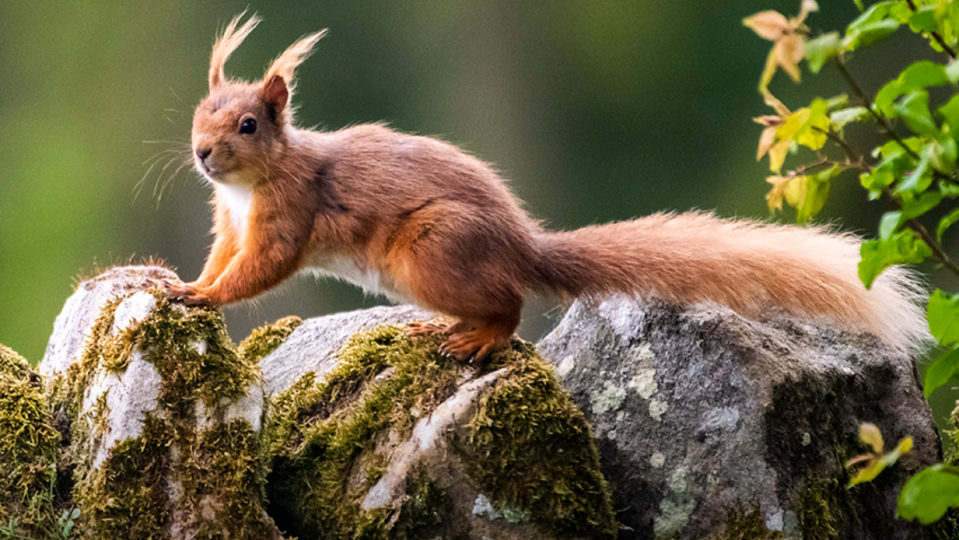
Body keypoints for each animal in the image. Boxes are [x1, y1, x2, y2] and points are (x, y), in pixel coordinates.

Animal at [163, 16, 924, 360]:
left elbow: (262, 266)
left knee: (509, 305)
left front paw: (201, 297)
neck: (249, 185)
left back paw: (476, 337)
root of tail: (521, 247)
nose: (202, 154)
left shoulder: (289, 212)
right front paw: (184, 279)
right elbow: (222, 257)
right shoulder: (229, 220)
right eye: (198, 114)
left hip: (433, 251)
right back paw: (445, 328)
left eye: (249, 124)